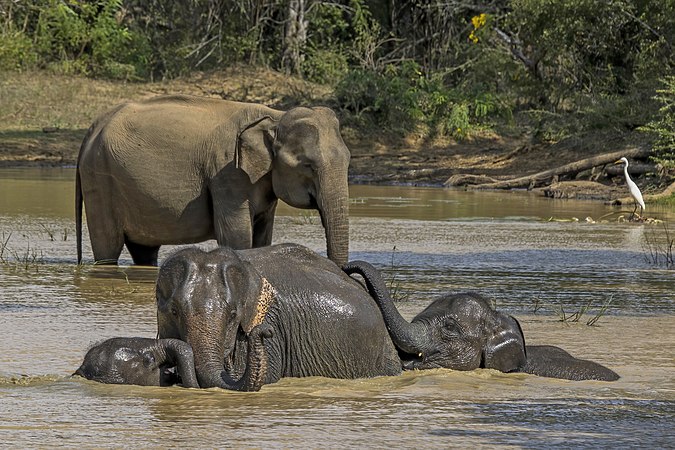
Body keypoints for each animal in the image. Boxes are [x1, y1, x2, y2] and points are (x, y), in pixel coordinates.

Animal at [74, 93, 352, 266]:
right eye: (308, 166)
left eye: (349, 160)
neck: (275, 116)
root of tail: (92, 128)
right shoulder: (227, 174)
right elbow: (237, 237)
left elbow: (262, 237)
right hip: (99, 179)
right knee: (108, 246)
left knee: (144, 249)